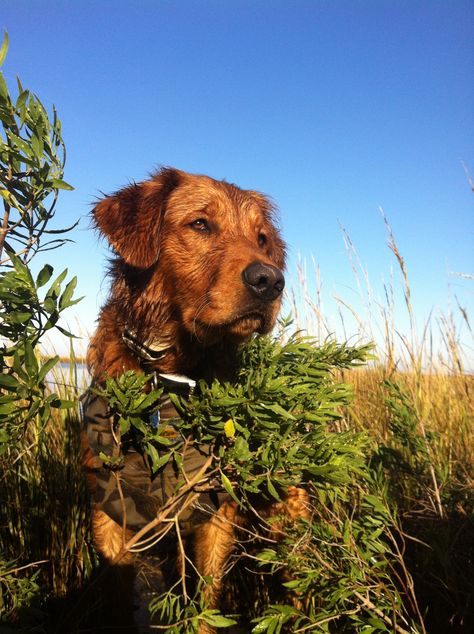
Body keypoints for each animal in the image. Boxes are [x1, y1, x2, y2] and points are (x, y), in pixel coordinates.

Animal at [84, 168, 308, 632]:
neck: (170, 377)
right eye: (201, 224)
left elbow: (205, 601)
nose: (270, 281)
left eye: (261, 238)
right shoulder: (108, 513)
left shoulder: (216, 513)